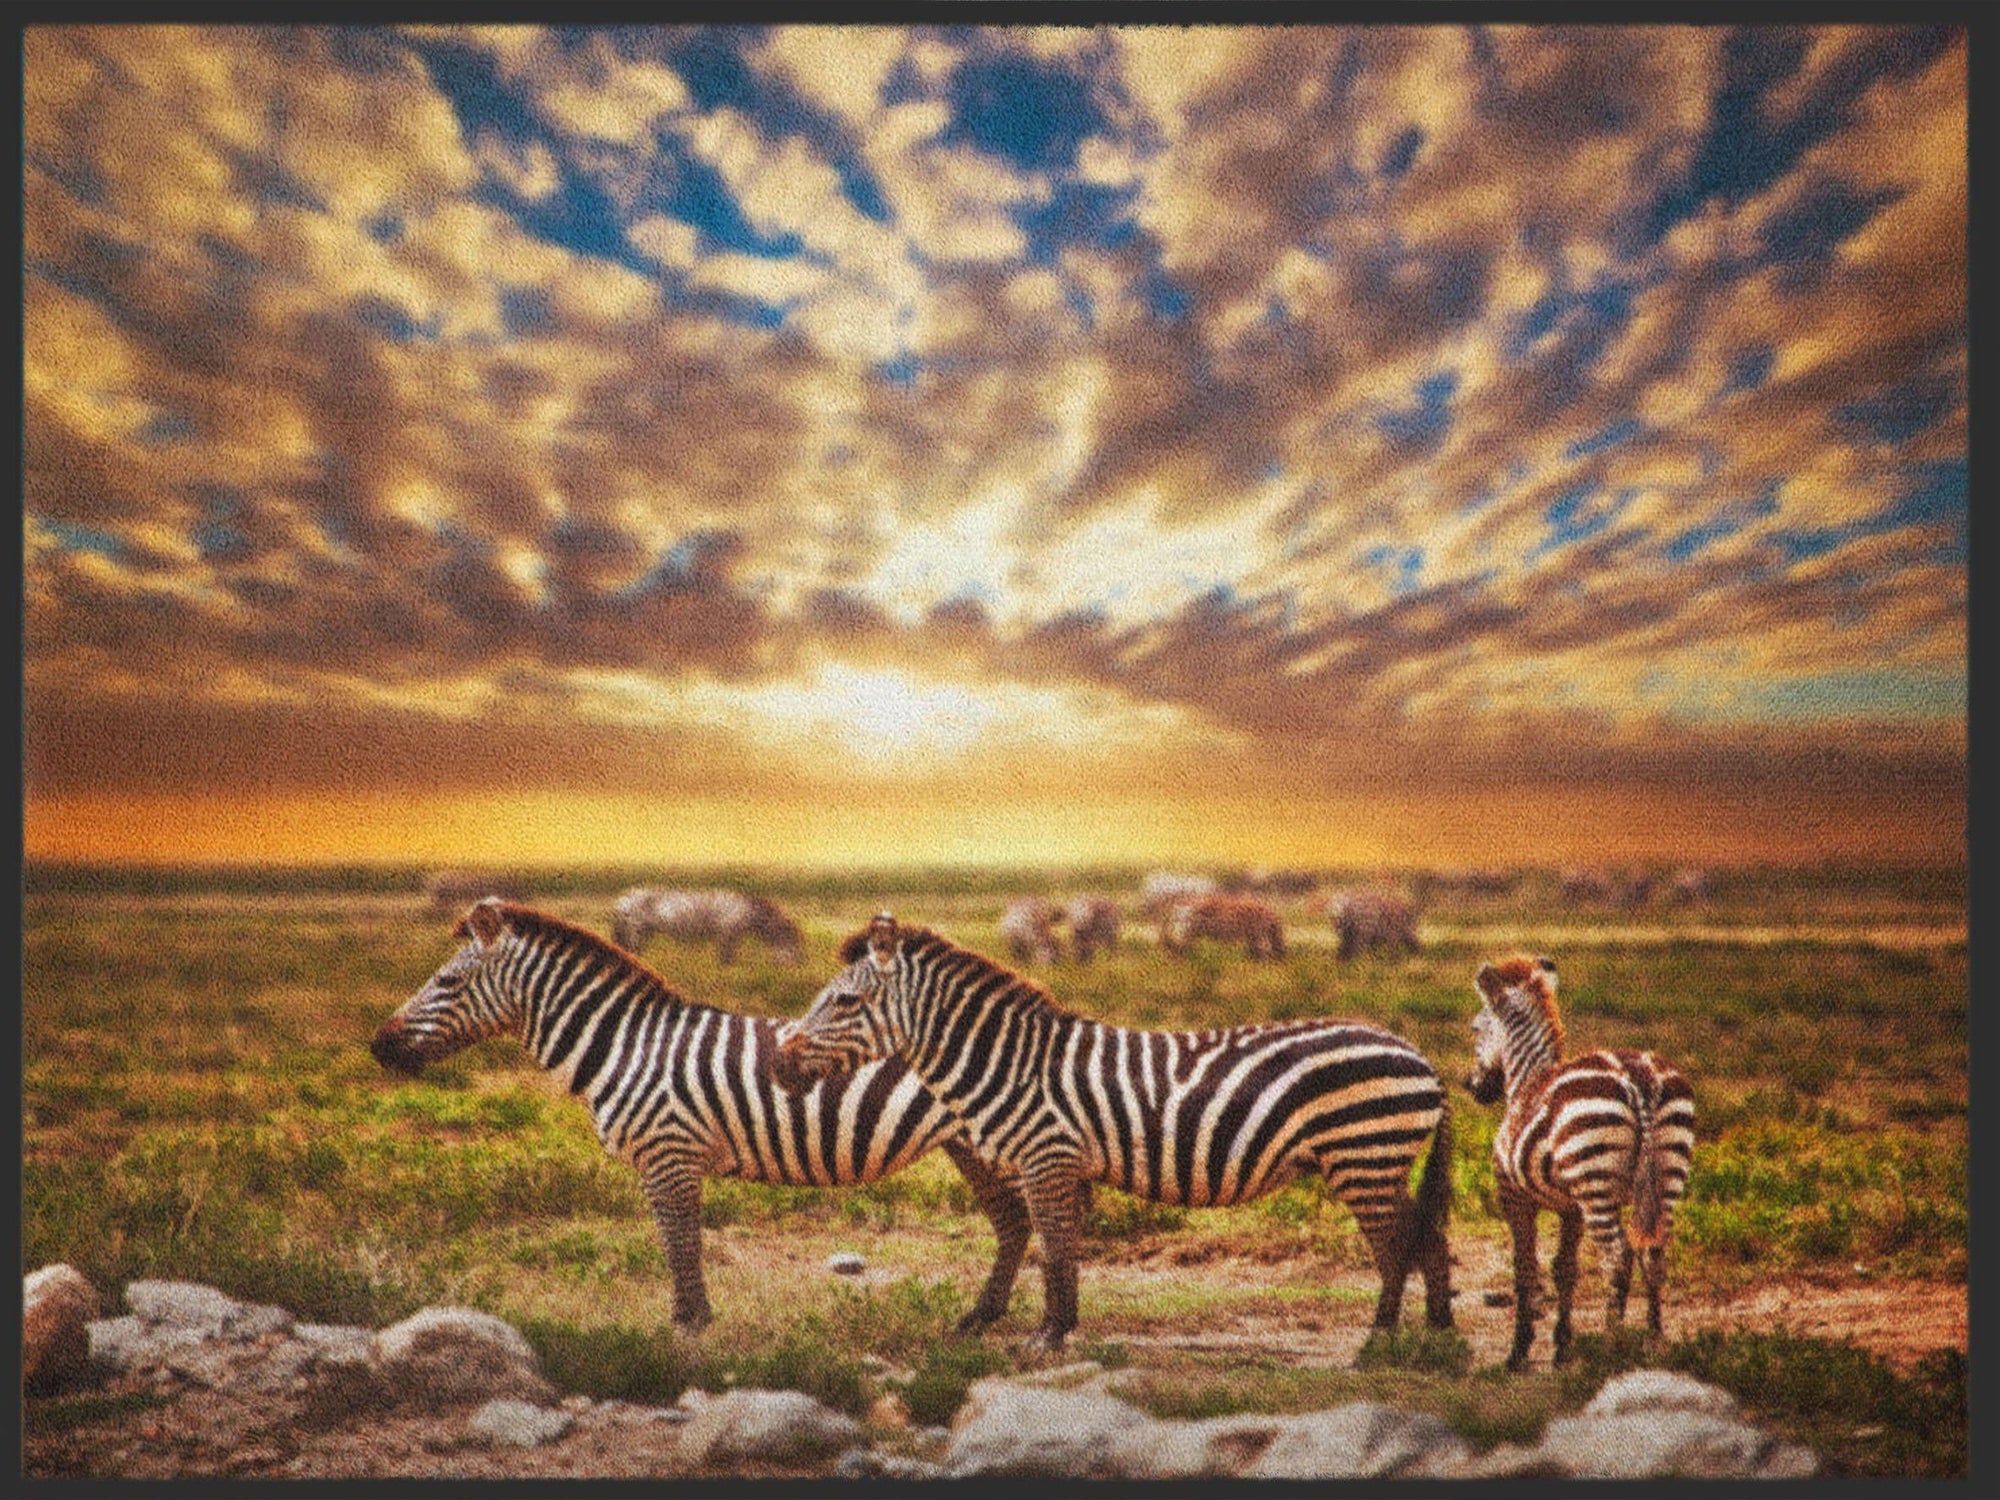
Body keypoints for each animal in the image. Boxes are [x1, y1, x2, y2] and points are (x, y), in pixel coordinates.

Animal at [370, 899, 1037, 1334]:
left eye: (448, 982)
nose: (379, 1047)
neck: (623, 1047)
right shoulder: (661, 1159)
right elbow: (676, 1240)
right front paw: (690, 1318)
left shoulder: (669, 1151)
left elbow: (680, 1243)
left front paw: (690, 1325)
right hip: (972, 1144)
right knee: (1014, 1221)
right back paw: (982, 1317)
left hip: (989, 1140)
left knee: (1018, 1219)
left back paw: (982, 1317)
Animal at [610, 887, 805, 966]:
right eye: (794, 943)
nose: (801, 964)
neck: (749, 910)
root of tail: (621, 899)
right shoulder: (727, 932)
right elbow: (726, 956)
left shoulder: (730, 934)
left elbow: (727, 955)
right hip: (635, 929)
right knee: (631, 950)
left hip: (642, 931)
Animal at [775, 914, 1455, 1350]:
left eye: (844, 1003)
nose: (779, 1063)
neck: (1010, 1062)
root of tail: (1421, 1057)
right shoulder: (1058, 1164)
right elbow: (1061, 1248)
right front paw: (1061, 1327)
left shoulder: (1047, 1157)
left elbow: (1053, 1246)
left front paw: (1048, 1336)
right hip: (1378, 1159)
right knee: (1427, 1237)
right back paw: (1437, 1335)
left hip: (1362, 1155)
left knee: (1396, 1243)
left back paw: (1380, 1338)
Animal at [1466, 954, 1696, 1371]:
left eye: (1475, 1028)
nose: (1472, 1087)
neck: (1526, 1079)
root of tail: (1637, 1075)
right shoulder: (1570, 1206)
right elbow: (1564, 1269)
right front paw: (1561, 1348)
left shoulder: (1514, 1196)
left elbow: (1525, 1268)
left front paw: (1519, 1351)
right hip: (1668, 1171)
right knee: (1654, 1252)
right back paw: (1654, 1341)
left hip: (1596, 1183)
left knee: (1617, 1256)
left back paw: (1611, 1342)